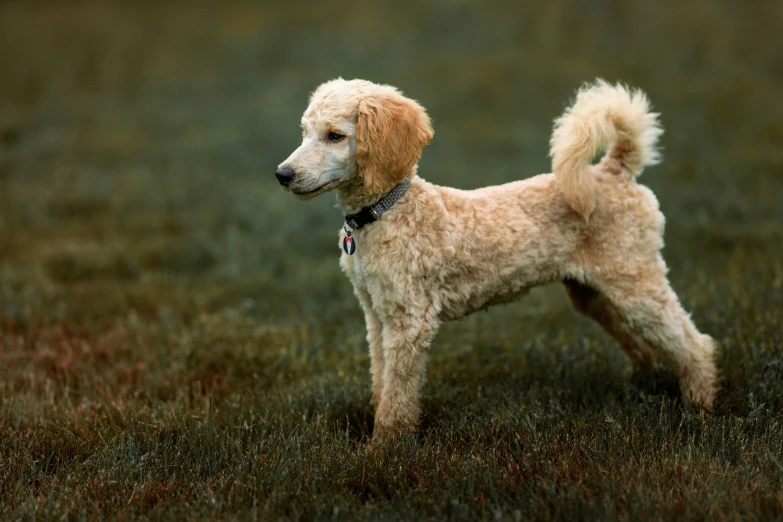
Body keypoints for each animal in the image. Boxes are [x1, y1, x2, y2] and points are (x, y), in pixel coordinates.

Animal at [278, 77, 720, 438]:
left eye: (335, 135)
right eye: (304, 132)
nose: (282, 174)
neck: (388, 211)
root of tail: (614, 171)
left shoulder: (410, 320)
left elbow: (398, 394)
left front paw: (384, 449)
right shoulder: (376, 314)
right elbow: (382, 380)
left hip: (633, 280)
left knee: (693, 343)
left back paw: (701, 407)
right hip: (593, 292)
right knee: (646, 343)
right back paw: (645, 383)